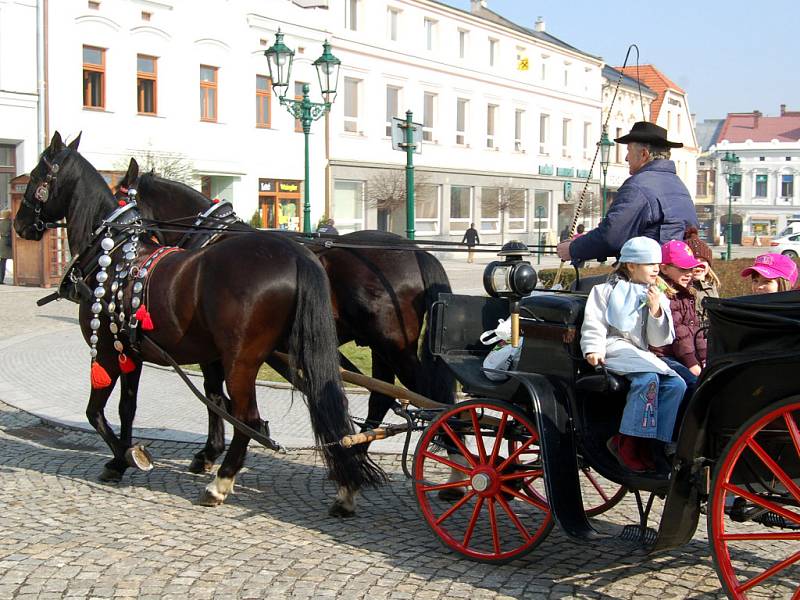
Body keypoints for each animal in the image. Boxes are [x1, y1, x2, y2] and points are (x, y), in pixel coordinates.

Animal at [14, 134, 382, 512]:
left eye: (36, 176)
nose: (19, 224)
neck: (113, 254)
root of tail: (295, 254)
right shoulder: (131, 351)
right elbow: (128, 408)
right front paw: (123, 459)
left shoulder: (105, 349)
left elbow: (96, 412)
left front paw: (129, 456)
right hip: (297, 352)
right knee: (329, 405)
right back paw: (345, 480)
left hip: (243, 361)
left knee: (248, 417)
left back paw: (221, 482)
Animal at [114, 157, 456, 448]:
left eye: (118, 198)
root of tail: (417, 253)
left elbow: (214, 394)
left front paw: (212, 451)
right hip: (379, 346)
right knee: (382, 396)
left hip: (393, 344)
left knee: (427, 396)